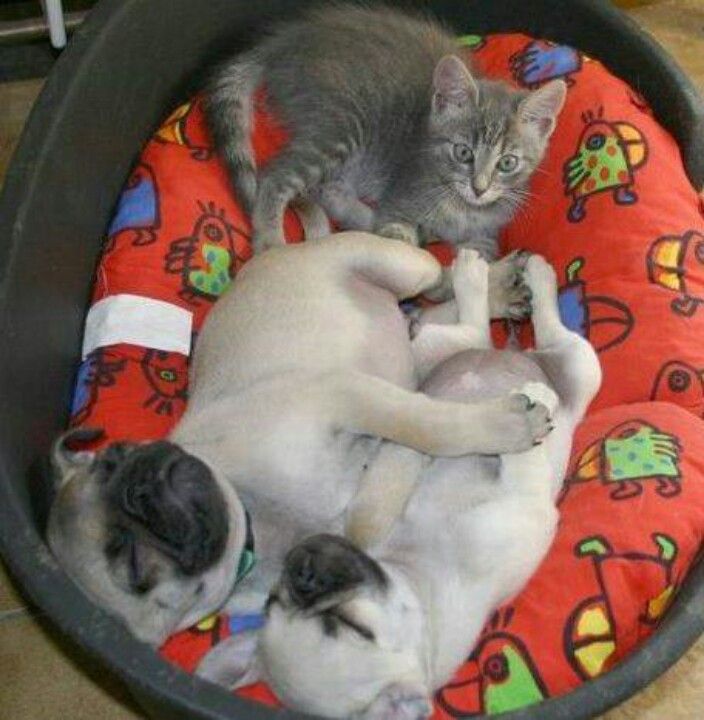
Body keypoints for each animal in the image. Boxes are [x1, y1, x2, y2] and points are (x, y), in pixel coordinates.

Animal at [46, 235, 552, 648]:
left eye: (117, 455)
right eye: (133, 566)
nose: (142, 477)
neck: (255, 514)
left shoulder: (343, 395)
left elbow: (425, 425)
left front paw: (505, 428)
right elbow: (368, 513)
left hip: (401, 264)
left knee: (434, 280)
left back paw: (492, 280)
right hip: (409, 330)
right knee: (429, 324)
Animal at [197, 250, 600, 716]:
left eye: (351, 625)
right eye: (274, 602)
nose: (303, 567)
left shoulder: (350, 401)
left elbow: (423, 431)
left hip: (415, 288)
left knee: (469, 312)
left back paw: (510, 278)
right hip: (507, 357)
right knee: (484, 331)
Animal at [205, 4, 568, 258]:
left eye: (507, 163)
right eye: (463, 152)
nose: (479, 189)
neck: (462, 205)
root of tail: (285, 42)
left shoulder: (485, 236)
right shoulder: (400, 199)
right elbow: (399, 237)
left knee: (328, 188)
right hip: (342, 124)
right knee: (276, 176)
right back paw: (271, 241)